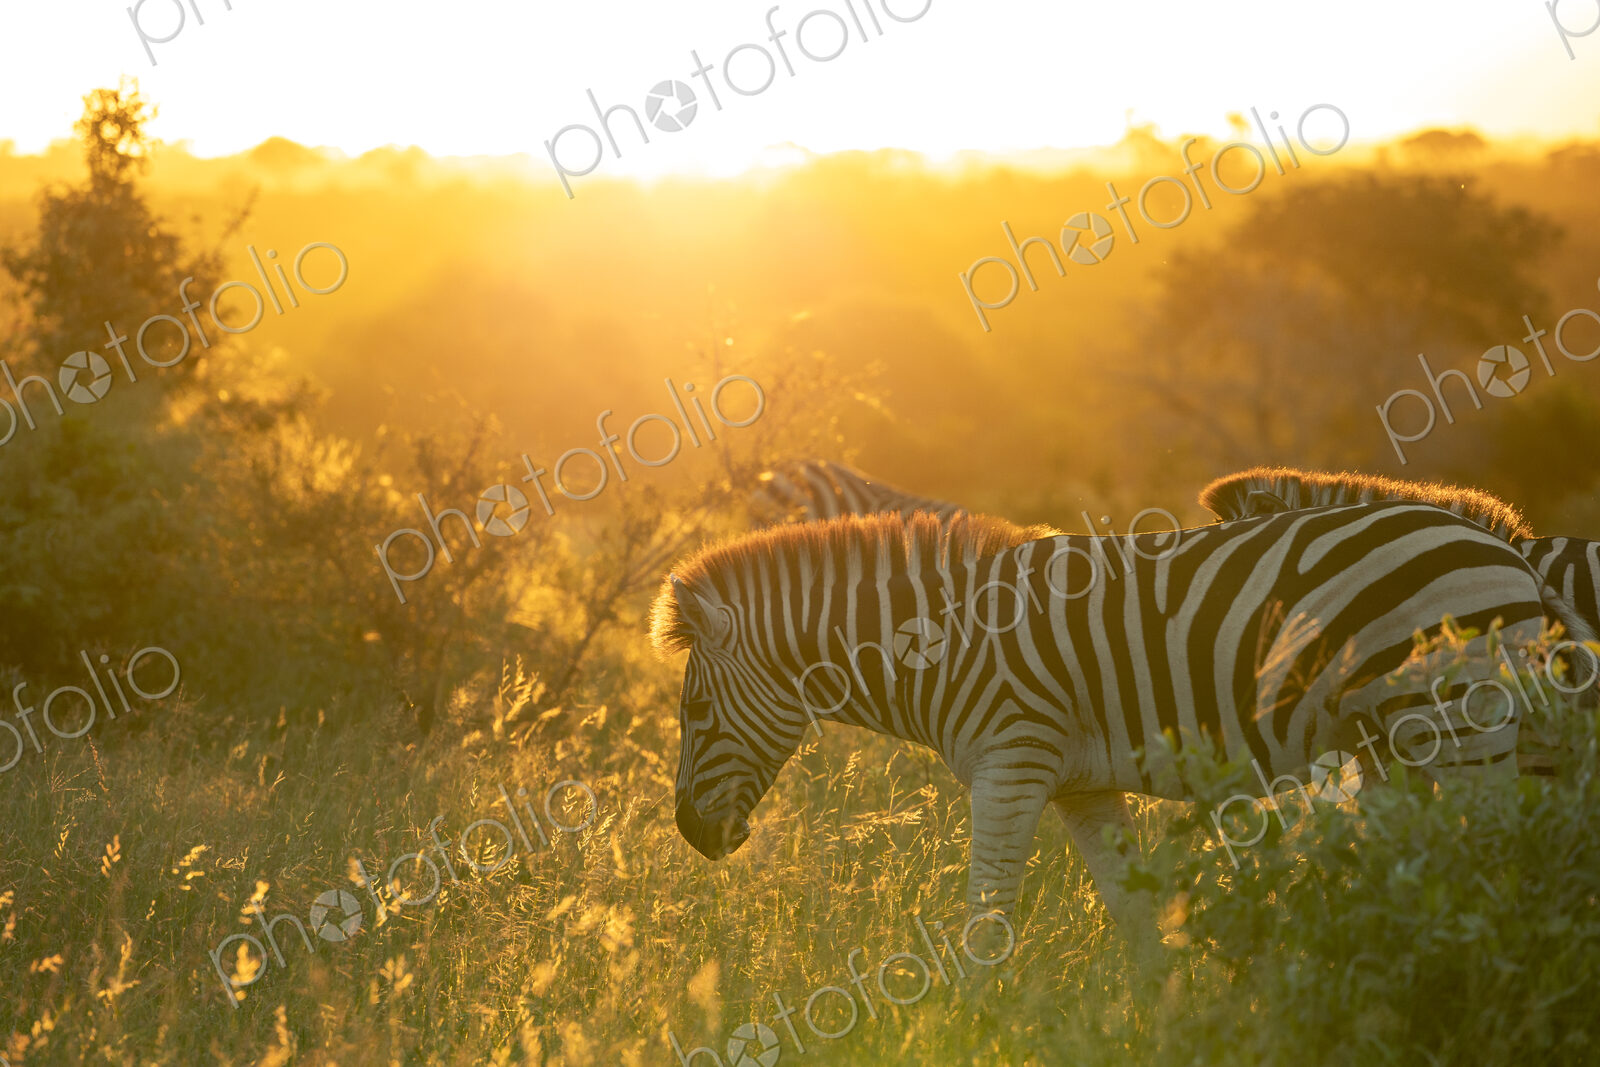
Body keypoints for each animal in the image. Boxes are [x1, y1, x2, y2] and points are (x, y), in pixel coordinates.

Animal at [652, 502, 1554, 941]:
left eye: (694, 709)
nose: (691, 832)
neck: (945, 645)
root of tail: (1505, 547)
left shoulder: (1010, 764)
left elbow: (986, 923)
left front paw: (974, 1027)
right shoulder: (1077, 784)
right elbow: (1135, 912)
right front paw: (1162, 1021)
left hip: (1465, 722)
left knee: (1504, 859)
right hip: (1398, 741)